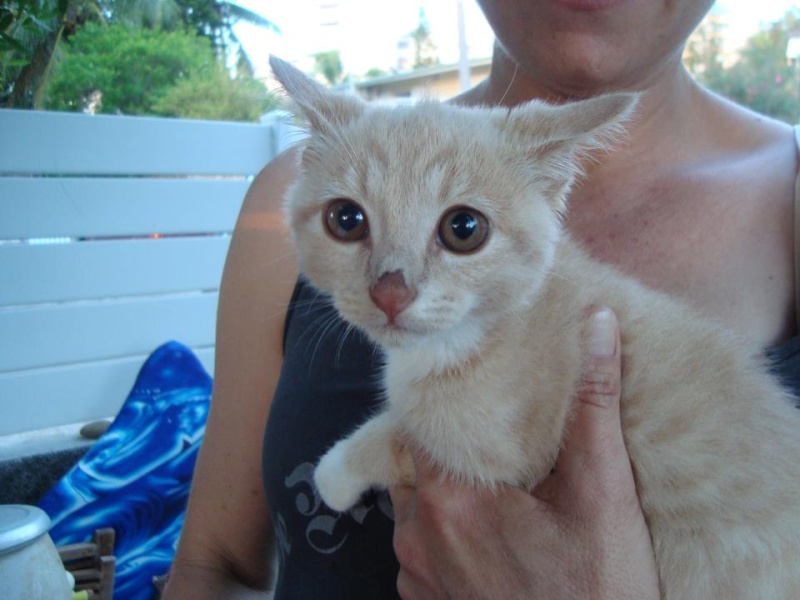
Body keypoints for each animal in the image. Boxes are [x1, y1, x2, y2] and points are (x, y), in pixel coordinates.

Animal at [268, 54, 800, 596]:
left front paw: (336, 471)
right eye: (346, 219)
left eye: (464, 229)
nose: (390, 292)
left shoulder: (500, 454)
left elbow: (406, 434)